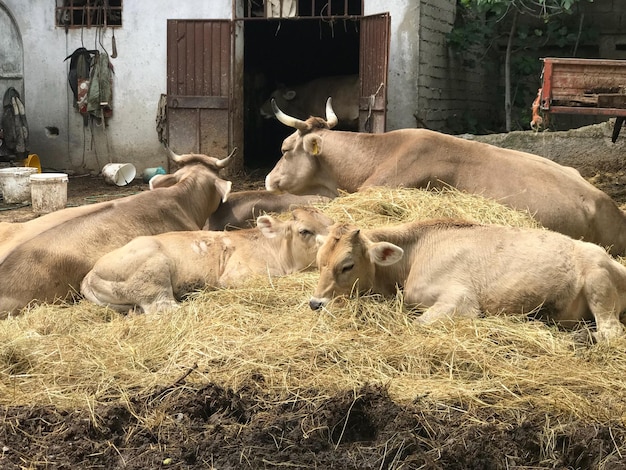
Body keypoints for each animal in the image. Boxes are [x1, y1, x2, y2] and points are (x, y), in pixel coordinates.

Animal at [82, 207, 332, 314]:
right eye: (304, 231)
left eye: (331, 224)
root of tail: (90, 274)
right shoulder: (235, 277)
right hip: (153, 275)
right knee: (164, 309)